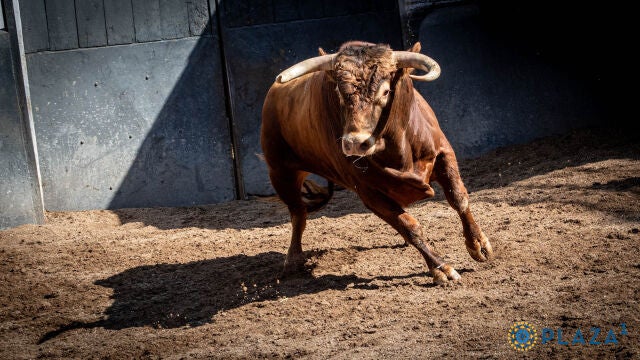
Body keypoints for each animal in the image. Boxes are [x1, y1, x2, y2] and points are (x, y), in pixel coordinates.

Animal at [260, 41, 496, 284]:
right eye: (340, 94)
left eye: (385, 91)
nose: (355, 143)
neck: (400, 150)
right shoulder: (369, 192)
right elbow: (409, 226)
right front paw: (441, 268)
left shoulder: (443, 152)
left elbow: (458, 198)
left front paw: (478, 244)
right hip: (280, 172)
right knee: (298, 214)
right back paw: (293, 260)